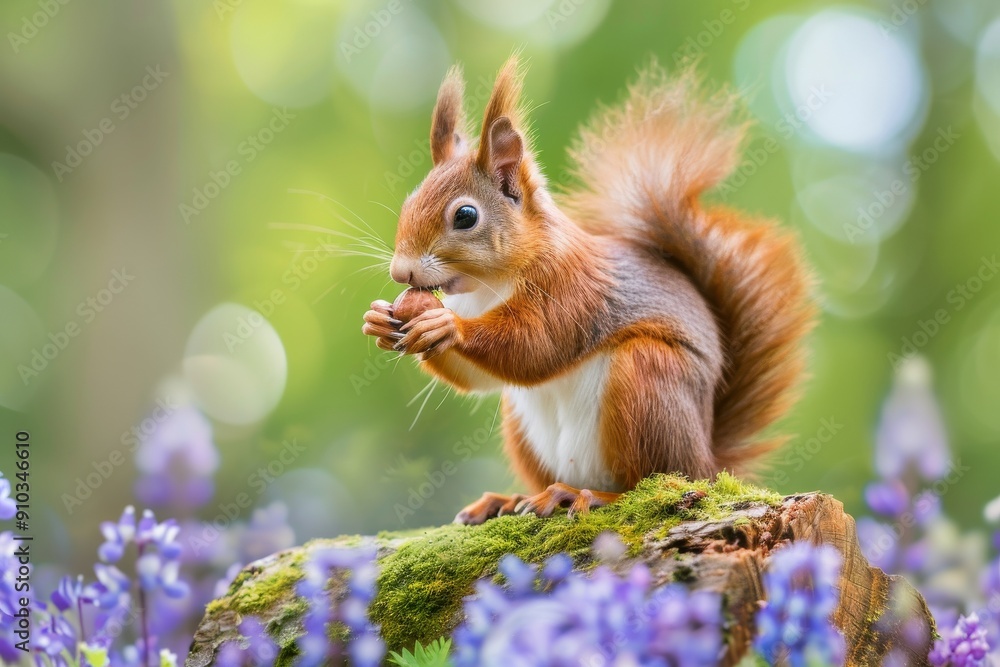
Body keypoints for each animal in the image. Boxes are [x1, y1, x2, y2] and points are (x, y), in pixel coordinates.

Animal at [362, 56, 816, 525]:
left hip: (650, 382)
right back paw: (511, 499)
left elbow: (535, 345)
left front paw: (446, 325)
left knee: (652, 483)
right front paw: (378, 319)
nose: (400, 272)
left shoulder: (573, 291)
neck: (488, 286)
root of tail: (708, 462)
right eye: (409, 202)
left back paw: (588, 496)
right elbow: (479, 378)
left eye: (465, 216)